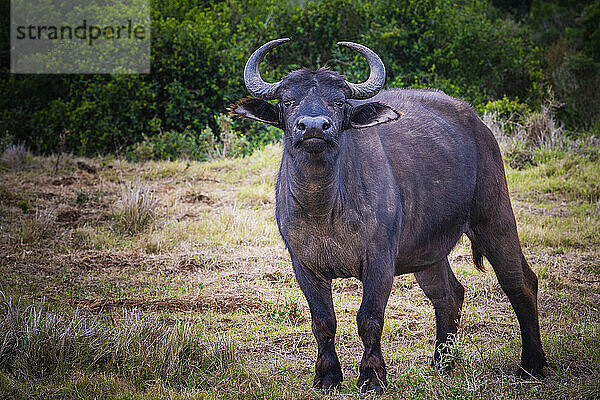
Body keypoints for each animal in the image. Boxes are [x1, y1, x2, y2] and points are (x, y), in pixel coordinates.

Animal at [232, 38, 548, 394]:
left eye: (339, 102)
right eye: (287, 101)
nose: (313, 127)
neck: (324, 209)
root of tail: (478, 125)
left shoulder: (380, 260)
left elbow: (369, 318)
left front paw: (372, 376)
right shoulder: (304, 265)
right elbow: (323, 321)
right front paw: (327, 376)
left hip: (494, 217)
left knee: (520, 283)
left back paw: (532, 364)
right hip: (428, 250)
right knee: (448, 294)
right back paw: (443, 361)